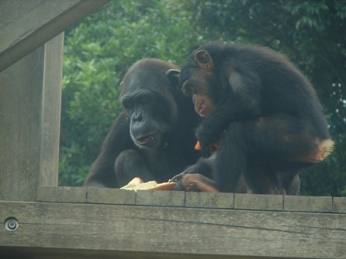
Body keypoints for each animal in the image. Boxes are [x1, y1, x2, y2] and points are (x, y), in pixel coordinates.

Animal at [84, 59, 201, 189]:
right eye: (129, 104)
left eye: (144, 100)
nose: (137, 118)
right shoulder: (120, 126)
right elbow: (97, 179)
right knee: (126, 157)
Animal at [170, 41, 332, 195]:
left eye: (191, 89)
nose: (193, 99)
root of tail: (324, 146)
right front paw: (190, 170)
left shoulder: (233, 65)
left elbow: (244, 98)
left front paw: (203, 133)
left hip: (301, 139)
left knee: (238, 131)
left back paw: (219, 187)